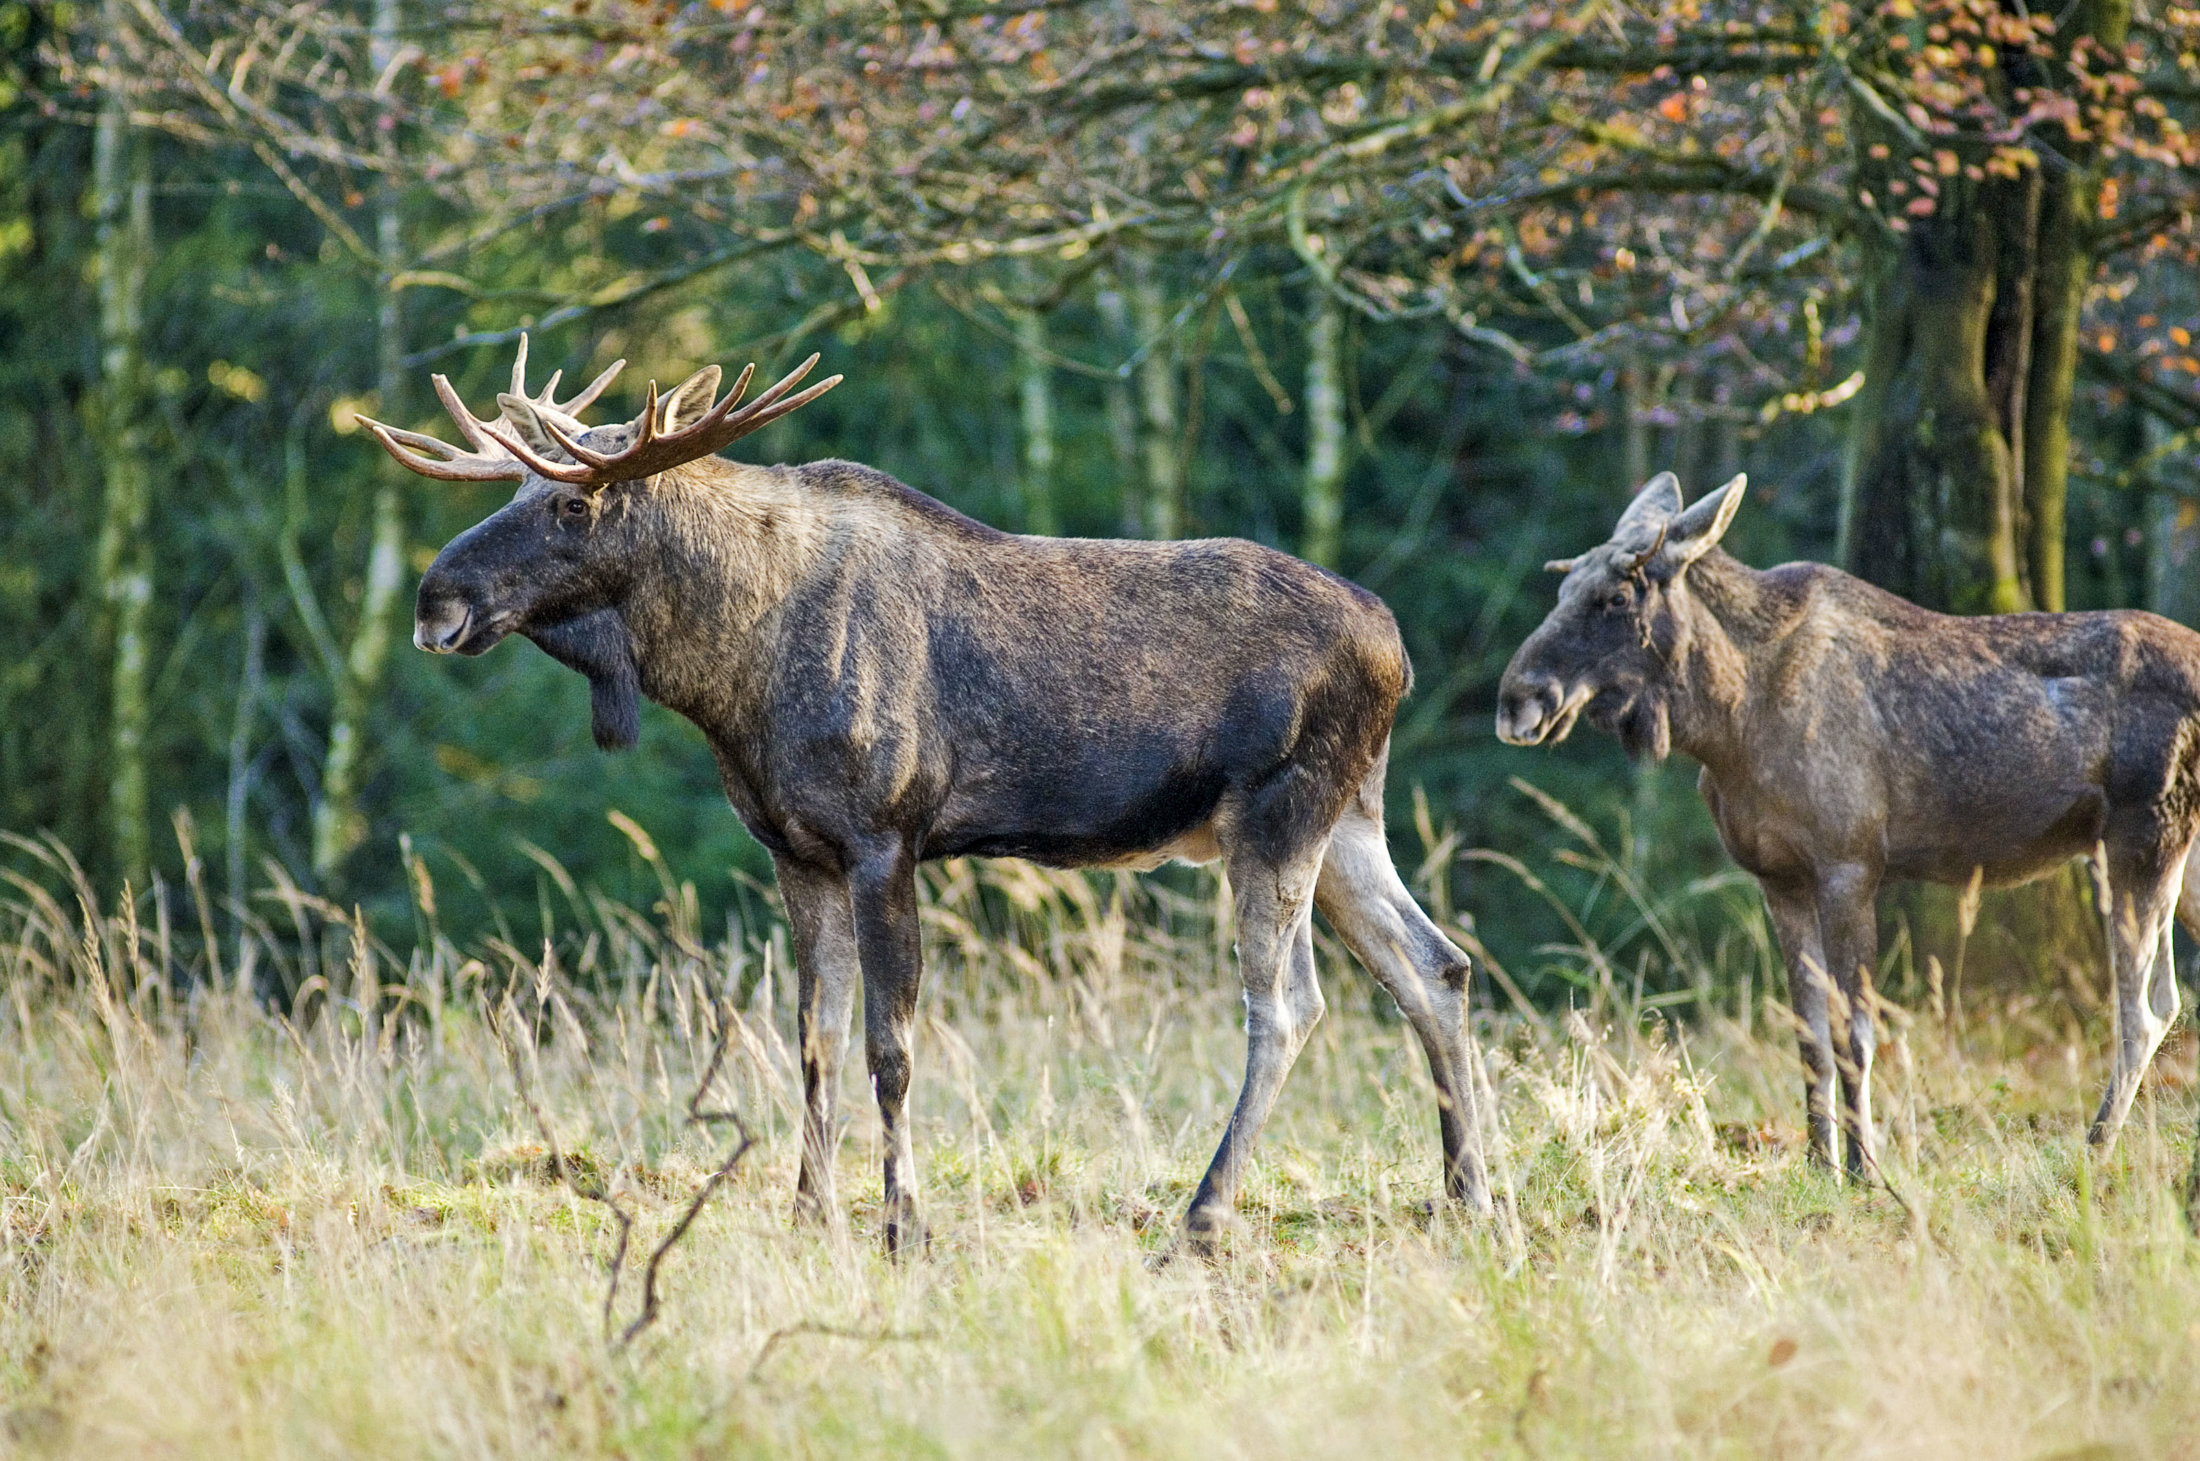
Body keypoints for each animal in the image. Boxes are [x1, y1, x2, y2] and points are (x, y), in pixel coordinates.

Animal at [360, 337, 1492, 1251]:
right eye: (506, 490)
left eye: (572, 501)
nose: (434, 600)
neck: (729, 677)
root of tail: (1396, 646)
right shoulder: (794, 849)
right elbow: (811, 1039)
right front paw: (808, 1212)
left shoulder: (884, 836)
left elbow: (888, 1048)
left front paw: (904, 1224)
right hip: (1348, 820)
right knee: (1436, 965)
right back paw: (1469, 1196)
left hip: (1277, 813)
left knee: (1289, 1003)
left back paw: (1205, 1216)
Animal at [1496, 471, 2200, 1182]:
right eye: (1562, 589)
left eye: (1615, 597)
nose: (1516, 699)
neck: (1727, 721)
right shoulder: (1778, 877)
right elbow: (1807, 1033)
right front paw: (1819, 1163)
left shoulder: (1849, 864)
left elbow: (1853, 1032)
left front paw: (1864, 1167)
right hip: (2177, 856)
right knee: (2166, 1001)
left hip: (2143, 838)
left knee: (2144, 1010)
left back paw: (2095, 1146)